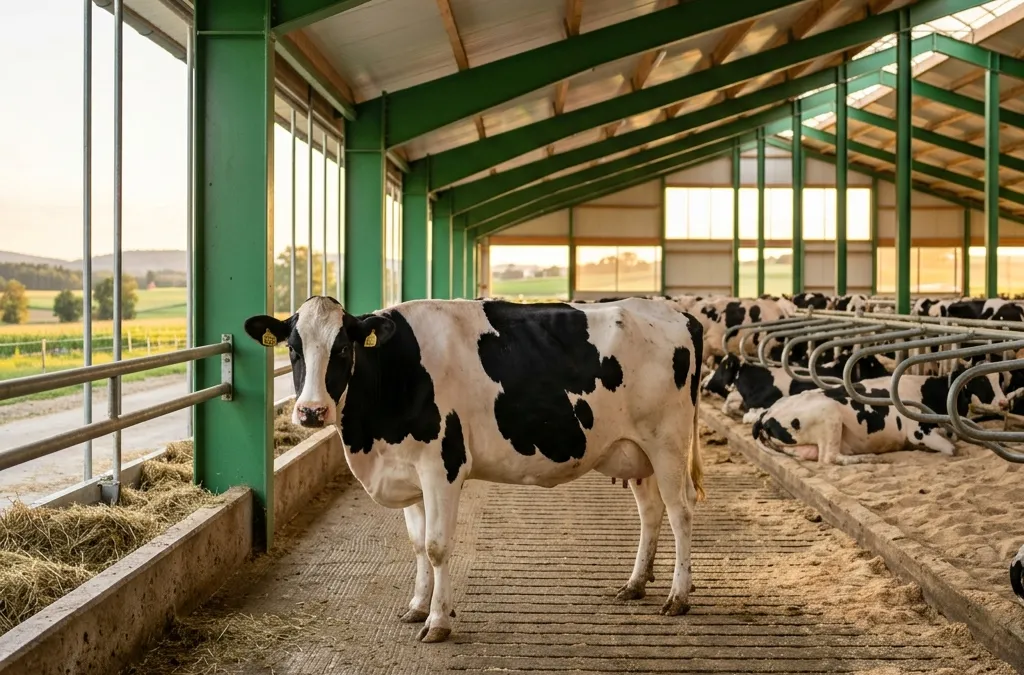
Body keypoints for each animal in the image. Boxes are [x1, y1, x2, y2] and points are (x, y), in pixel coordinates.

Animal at [244, 296, 706, 643]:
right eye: (293, 349)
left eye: (341, 349)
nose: (310, 411)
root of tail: (677, 313)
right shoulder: (405, 470)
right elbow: (417, 545)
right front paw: (417, 607)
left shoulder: (441, 468)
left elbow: (436, 546)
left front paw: (438, 622)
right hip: (635, 451)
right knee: (651, 512)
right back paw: (635, 584)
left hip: (667, 443)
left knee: (681, 513)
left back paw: (678, 597)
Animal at [749, 371, 1007, 465]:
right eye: (980, 380)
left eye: (1001, 378)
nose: (1005, 402)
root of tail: (767, 413)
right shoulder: (919, 432)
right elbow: (952, 450)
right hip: (830, 415)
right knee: (830, 457)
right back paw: (872, 458)